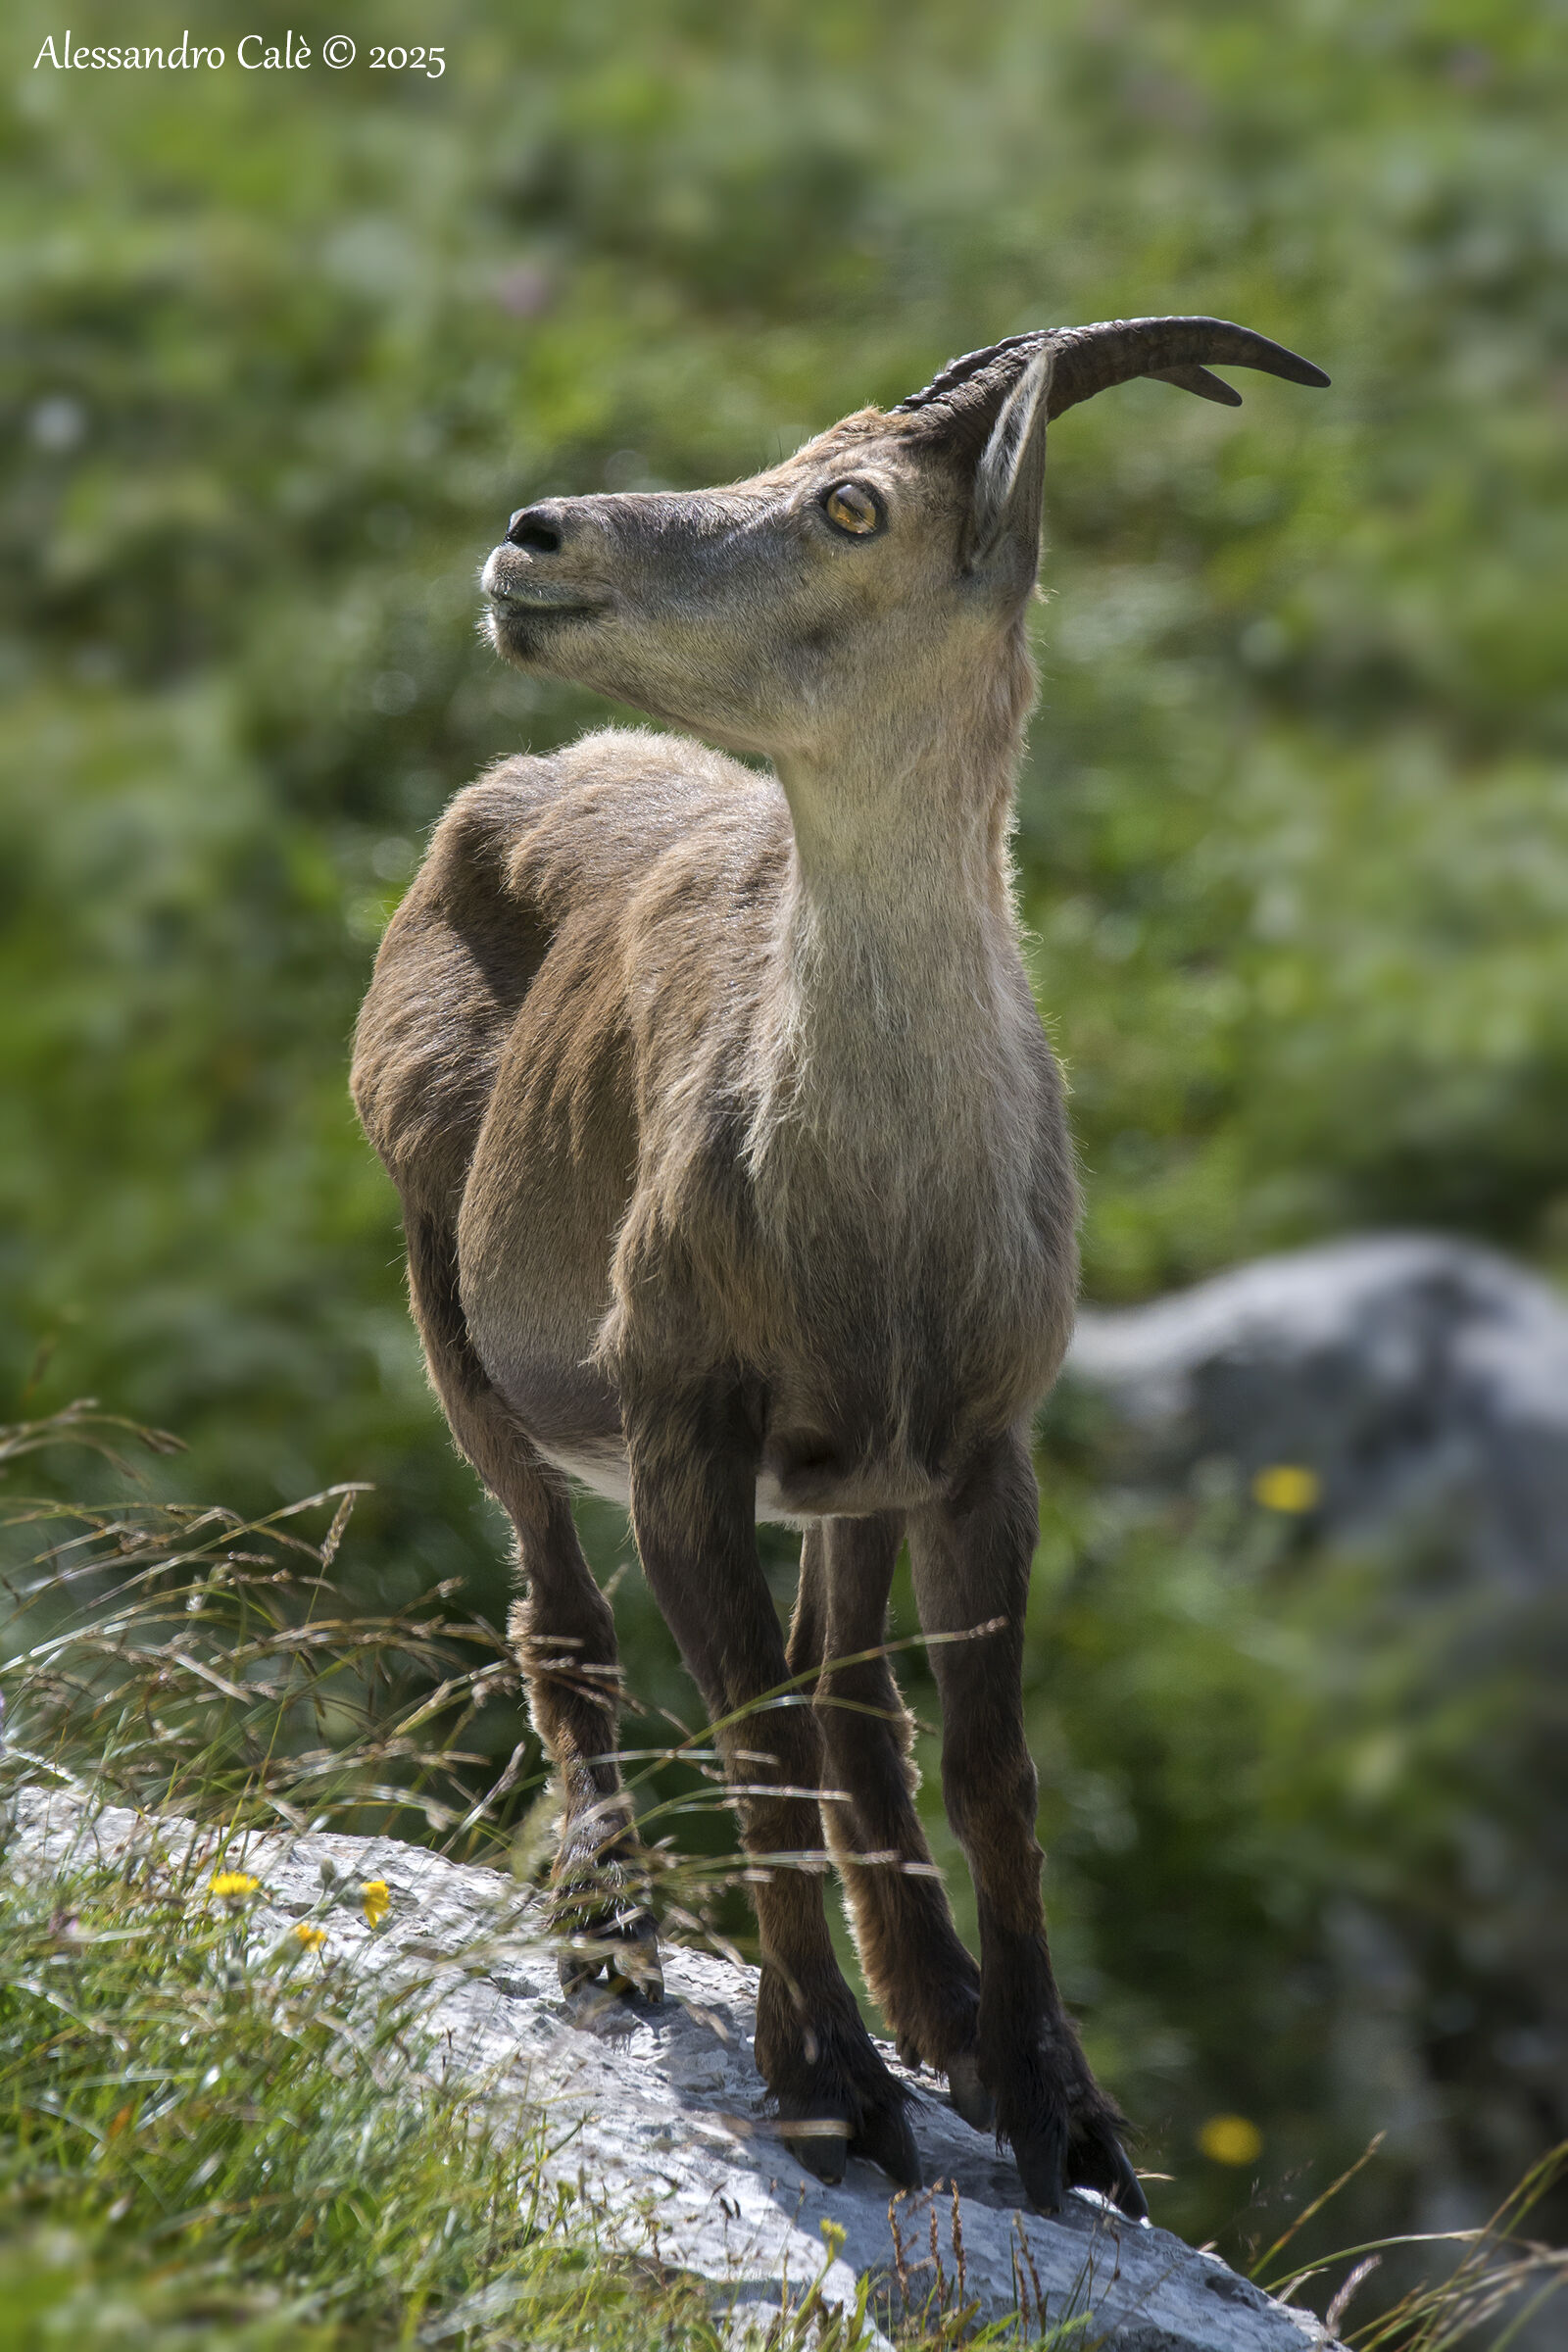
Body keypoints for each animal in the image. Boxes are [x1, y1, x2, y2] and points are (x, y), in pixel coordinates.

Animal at [351, 316, 1327, 2215]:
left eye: (851, 503)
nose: (533, 538)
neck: (874, 1211)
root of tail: (515, 783)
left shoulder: (982, 1449)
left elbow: (988, 1767)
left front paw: (1063, 2112)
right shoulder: (684, 1428)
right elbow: (755, 1733)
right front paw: (828, 2086)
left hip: (856, 1475)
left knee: (856, 1702)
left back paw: (935, 2003)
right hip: (454, 1298)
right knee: (561, 1618)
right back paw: (611, 1924)